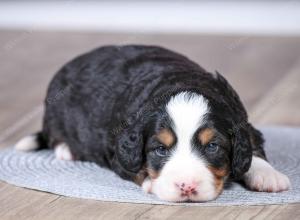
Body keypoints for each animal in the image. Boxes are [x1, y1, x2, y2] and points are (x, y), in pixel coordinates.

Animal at [14, 45, 290, 203]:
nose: (186, 186)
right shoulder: (118, 148)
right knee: (54, 136)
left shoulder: (241, 120)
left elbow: (253, 146)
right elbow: (136, 168)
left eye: (212, 147)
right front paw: (152, 182)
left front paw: (268, 175)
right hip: (55, 112)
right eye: (160, 149)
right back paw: (66, 150)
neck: (182, 81)